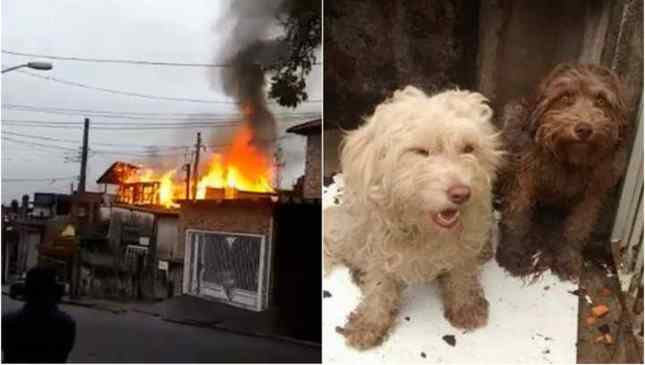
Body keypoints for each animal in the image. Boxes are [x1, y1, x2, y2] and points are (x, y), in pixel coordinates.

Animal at [324, 86, 500, 350]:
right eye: (421, 152)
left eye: (468, 148)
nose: (461, 193)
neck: (423, 228)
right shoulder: (378, 244)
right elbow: (379, 285)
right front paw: (370, 323)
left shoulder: (466, 239)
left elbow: (462, 271)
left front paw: (465, 304)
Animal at [496, 64, 628, 280]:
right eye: (565, 97)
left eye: (601, 101)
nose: (584, 129)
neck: (570, 160)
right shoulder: (523, 180)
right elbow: (517, 217)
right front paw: (513, 253)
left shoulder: (593, 193)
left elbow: (577, 227)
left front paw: (567, 258)